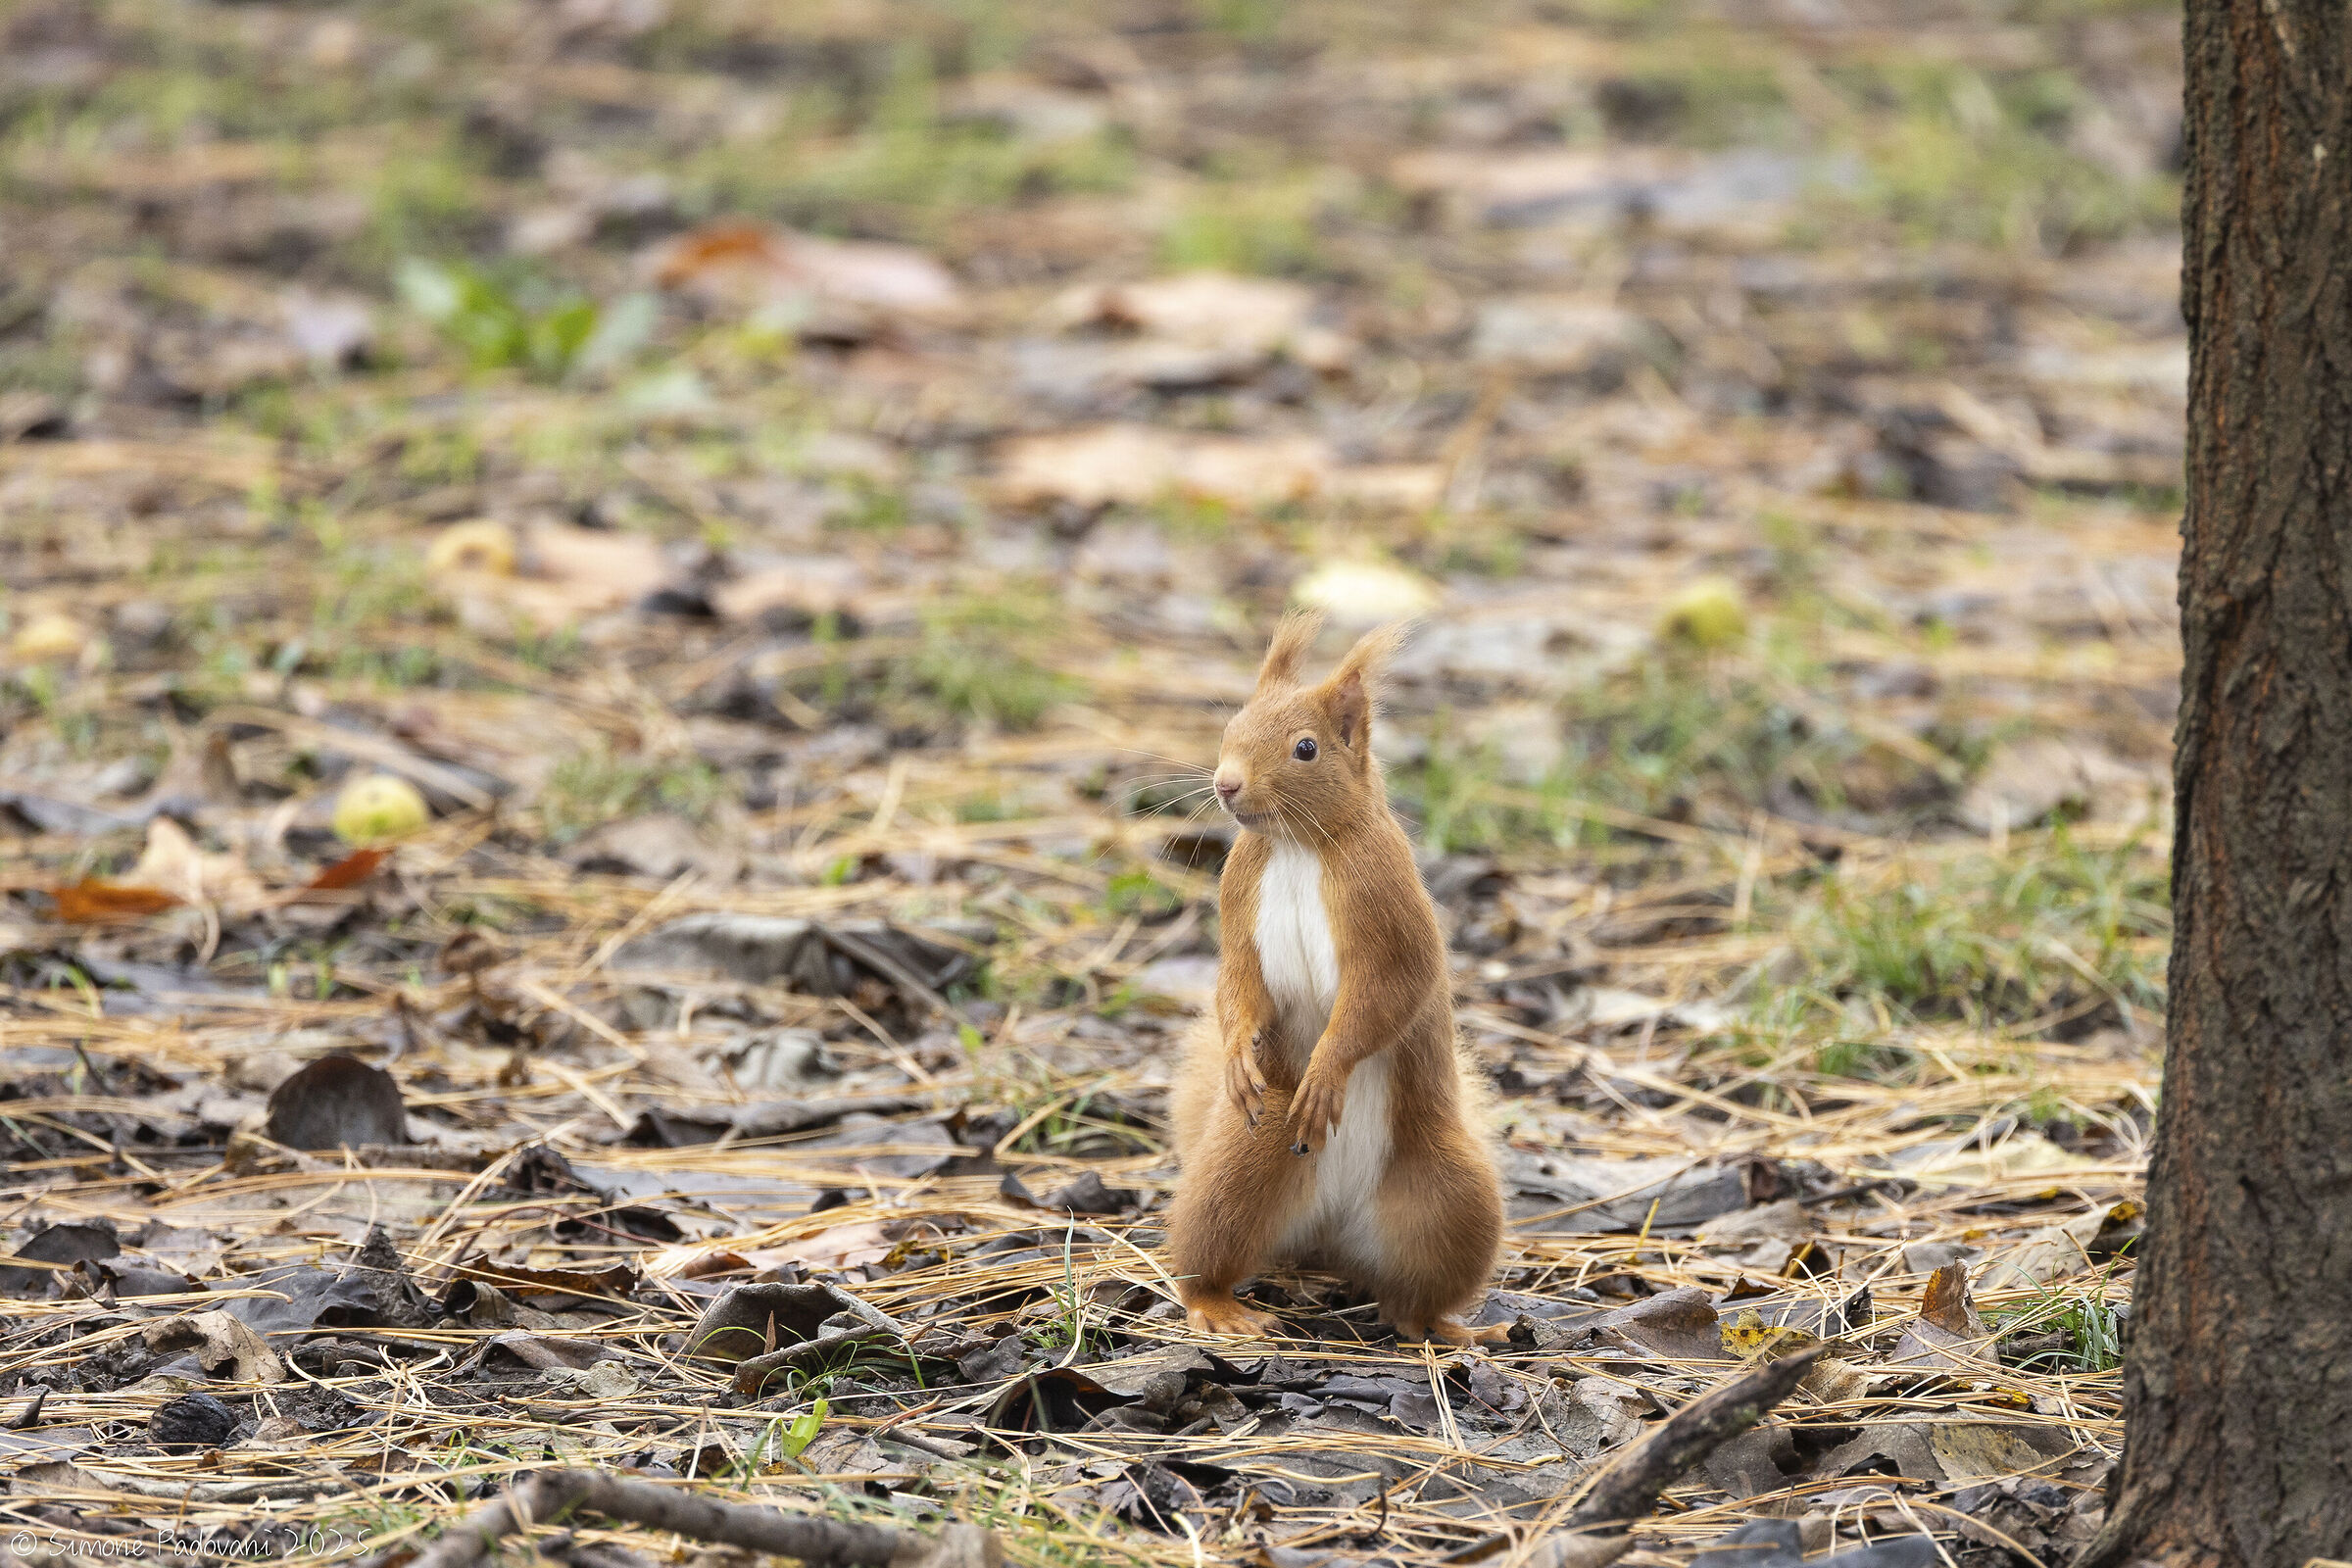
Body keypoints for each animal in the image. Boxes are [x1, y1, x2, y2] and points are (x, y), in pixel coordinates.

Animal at [1166, 610, 1506, 1345]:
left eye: (1306, 749)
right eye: (1233, 725)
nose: (1226, 783)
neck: (1297, 845)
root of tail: (1328, 1238)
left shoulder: (1386, 906)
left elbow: (1384, 996)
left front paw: (1326, 1072)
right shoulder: (1238, 897)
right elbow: (1238, 985)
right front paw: (1238, 1058)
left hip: (1448, 1197)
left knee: (1412, 1297)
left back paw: (1449, 1328)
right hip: (1245, 1160)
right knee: (1210, 1245)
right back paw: (1218, 1306)